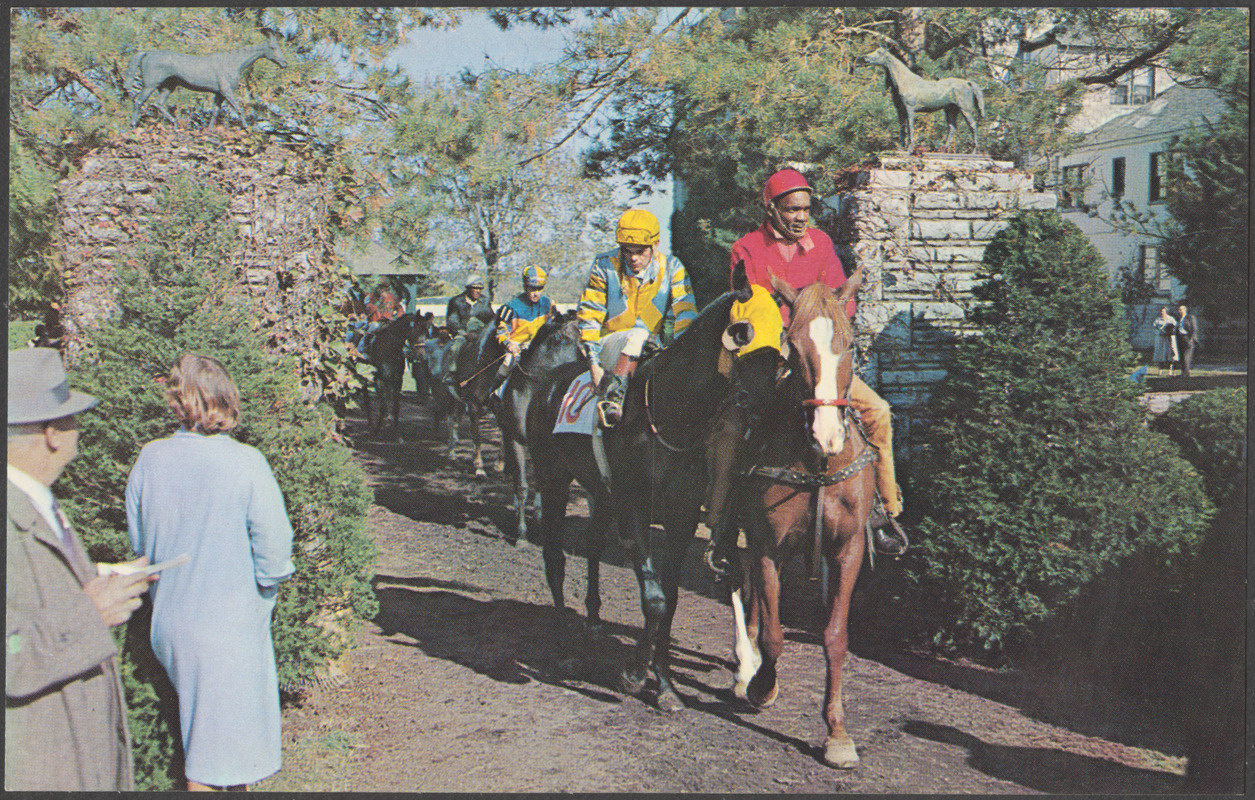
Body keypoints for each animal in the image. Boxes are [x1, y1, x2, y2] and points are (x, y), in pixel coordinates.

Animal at [732, 276, 878, 768]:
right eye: (793, 347)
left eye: (849, 344)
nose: (827, 434)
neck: (816, 464)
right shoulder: (767, 544)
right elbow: (775, 636)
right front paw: (762, 687)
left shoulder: (848, 550)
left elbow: (835, 637)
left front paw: (837, 733)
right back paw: (746, 669)